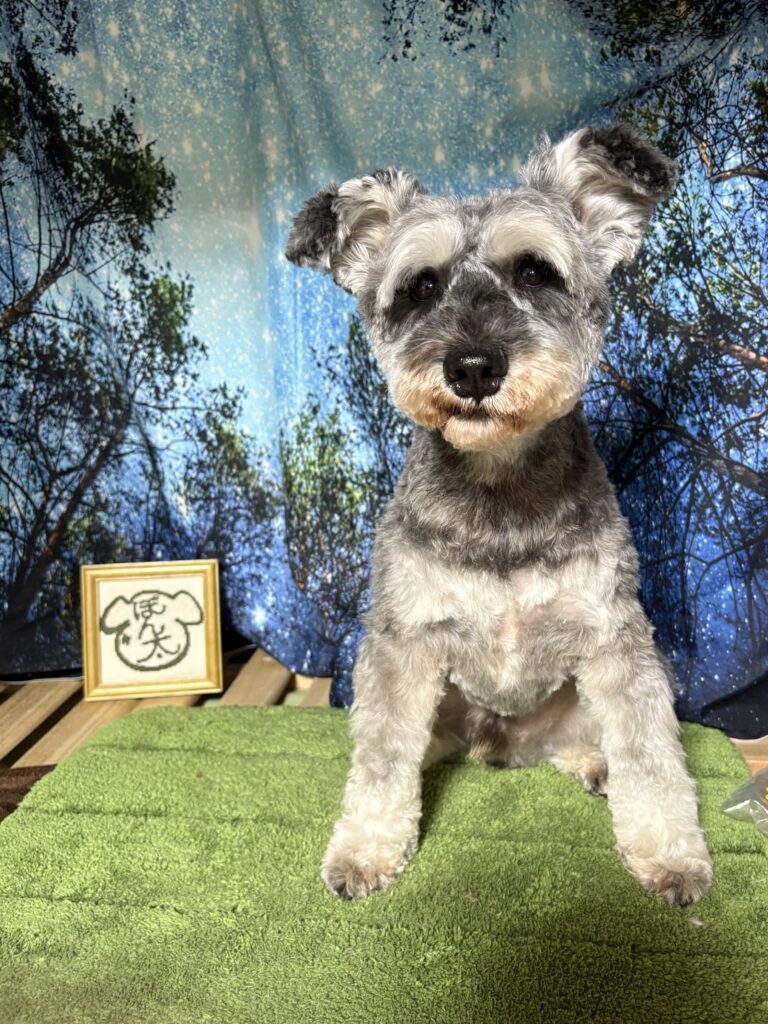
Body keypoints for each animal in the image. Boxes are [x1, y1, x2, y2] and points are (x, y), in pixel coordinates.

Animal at [285, 124, 712, 906]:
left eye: (536, 272)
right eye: (421, 286)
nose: (474, 366)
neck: (501, 489)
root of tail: (498, 741)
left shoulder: (615, 640)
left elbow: (649, 752)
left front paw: (670, 854)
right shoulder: (403, 643)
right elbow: (383, 756)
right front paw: (366, 848)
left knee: (585, 740)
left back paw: (592, 762)